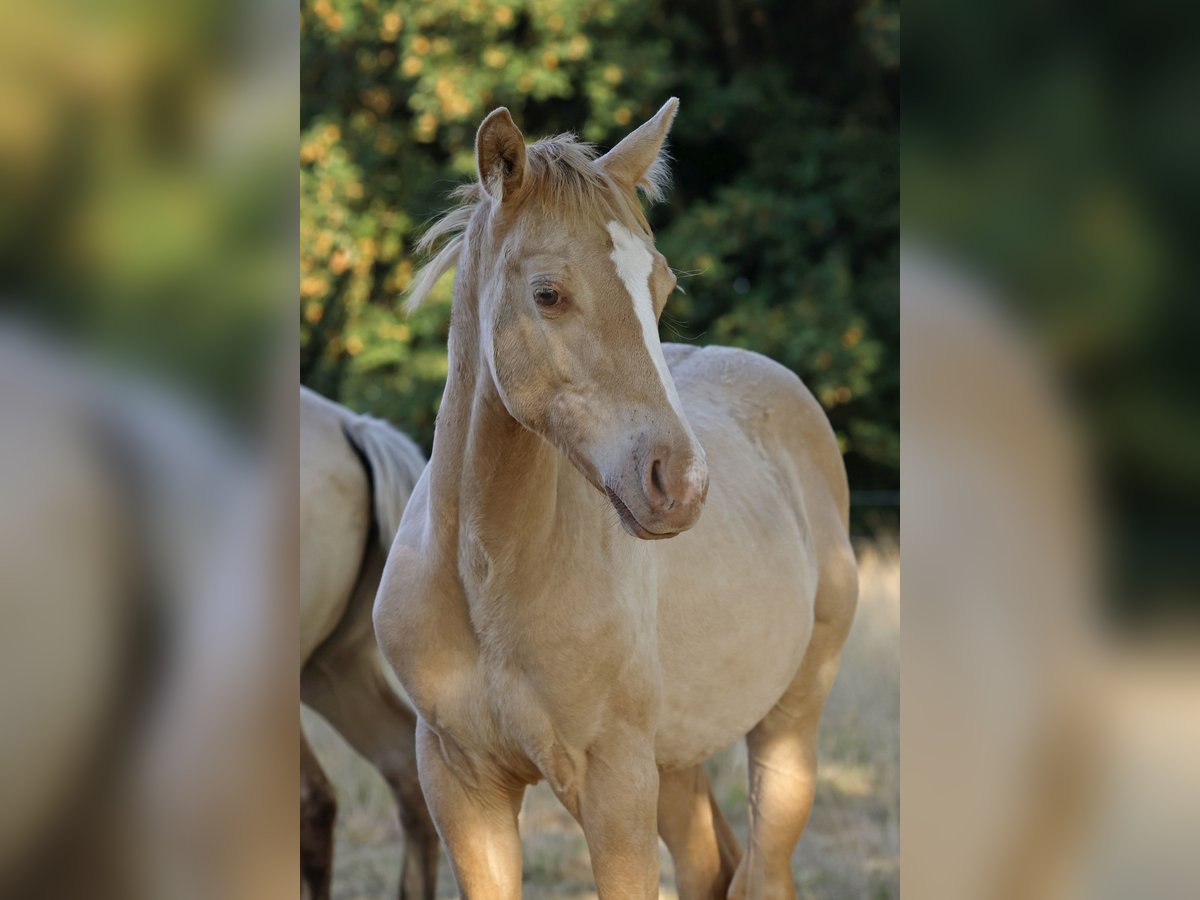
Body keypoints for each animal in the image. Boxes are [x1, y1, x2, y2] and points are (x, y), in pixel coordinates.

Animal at [373, 100, 858, 899]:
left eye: (658, 288)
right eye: (548, 293)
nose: (680, 483)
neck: (487, 575)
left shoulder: (615, 787)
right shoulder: (460, 784)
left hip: (787, 730)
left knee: (763, 870)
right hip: (679, 763)